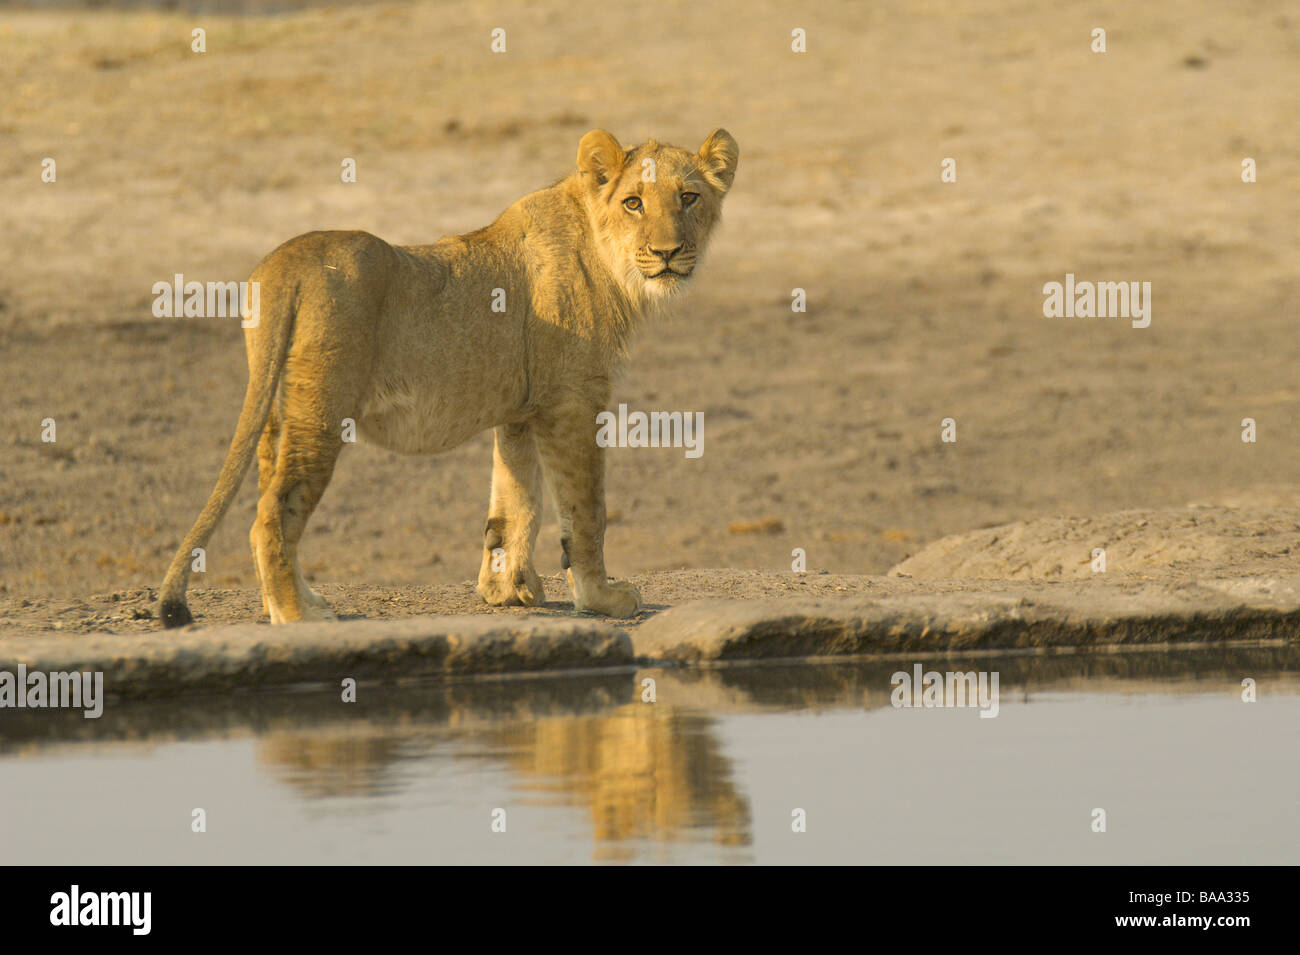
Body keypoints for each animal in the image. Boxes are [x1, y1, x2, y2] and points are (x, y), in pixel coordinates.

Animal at [158, 128, 739, 628]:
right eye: (634, 202)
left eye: (689, 198)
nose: (667, 252)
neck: (609, 259)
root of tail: (283, 266)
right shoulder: (573, 401)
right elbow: (584, 509)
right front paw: (601, 598)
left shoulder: (522, 412)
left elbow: (515, 503)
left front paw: (507, 590)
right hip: (320, 411)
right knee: (272, 514)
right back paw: (298, 617)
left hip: (278, 412)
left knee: (269, 499)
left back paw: (300, 601)